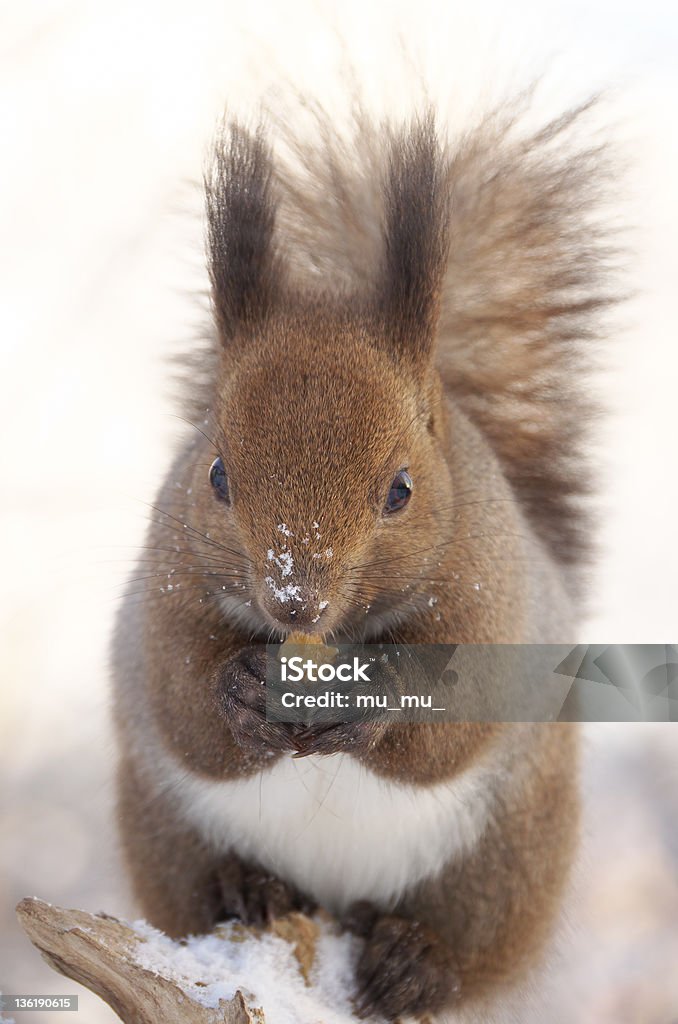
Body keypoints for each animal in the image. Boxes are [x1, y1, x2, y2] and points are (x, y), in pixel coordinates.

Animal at [112, 92, 614, 1019]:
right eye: (217, 474)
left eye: (401, 489)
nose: (292, 601)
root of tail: (337, 903)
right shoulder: (164, 593)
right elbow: (182, 696)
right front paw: (238, 688)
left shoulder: (500, 604)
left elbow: (459, 712)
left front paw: (376, 695)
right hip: (165, 827)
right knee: (199, 877)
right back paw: (248, 891)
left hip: (508, 852)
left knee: (473, 941)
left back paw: (416, 959)